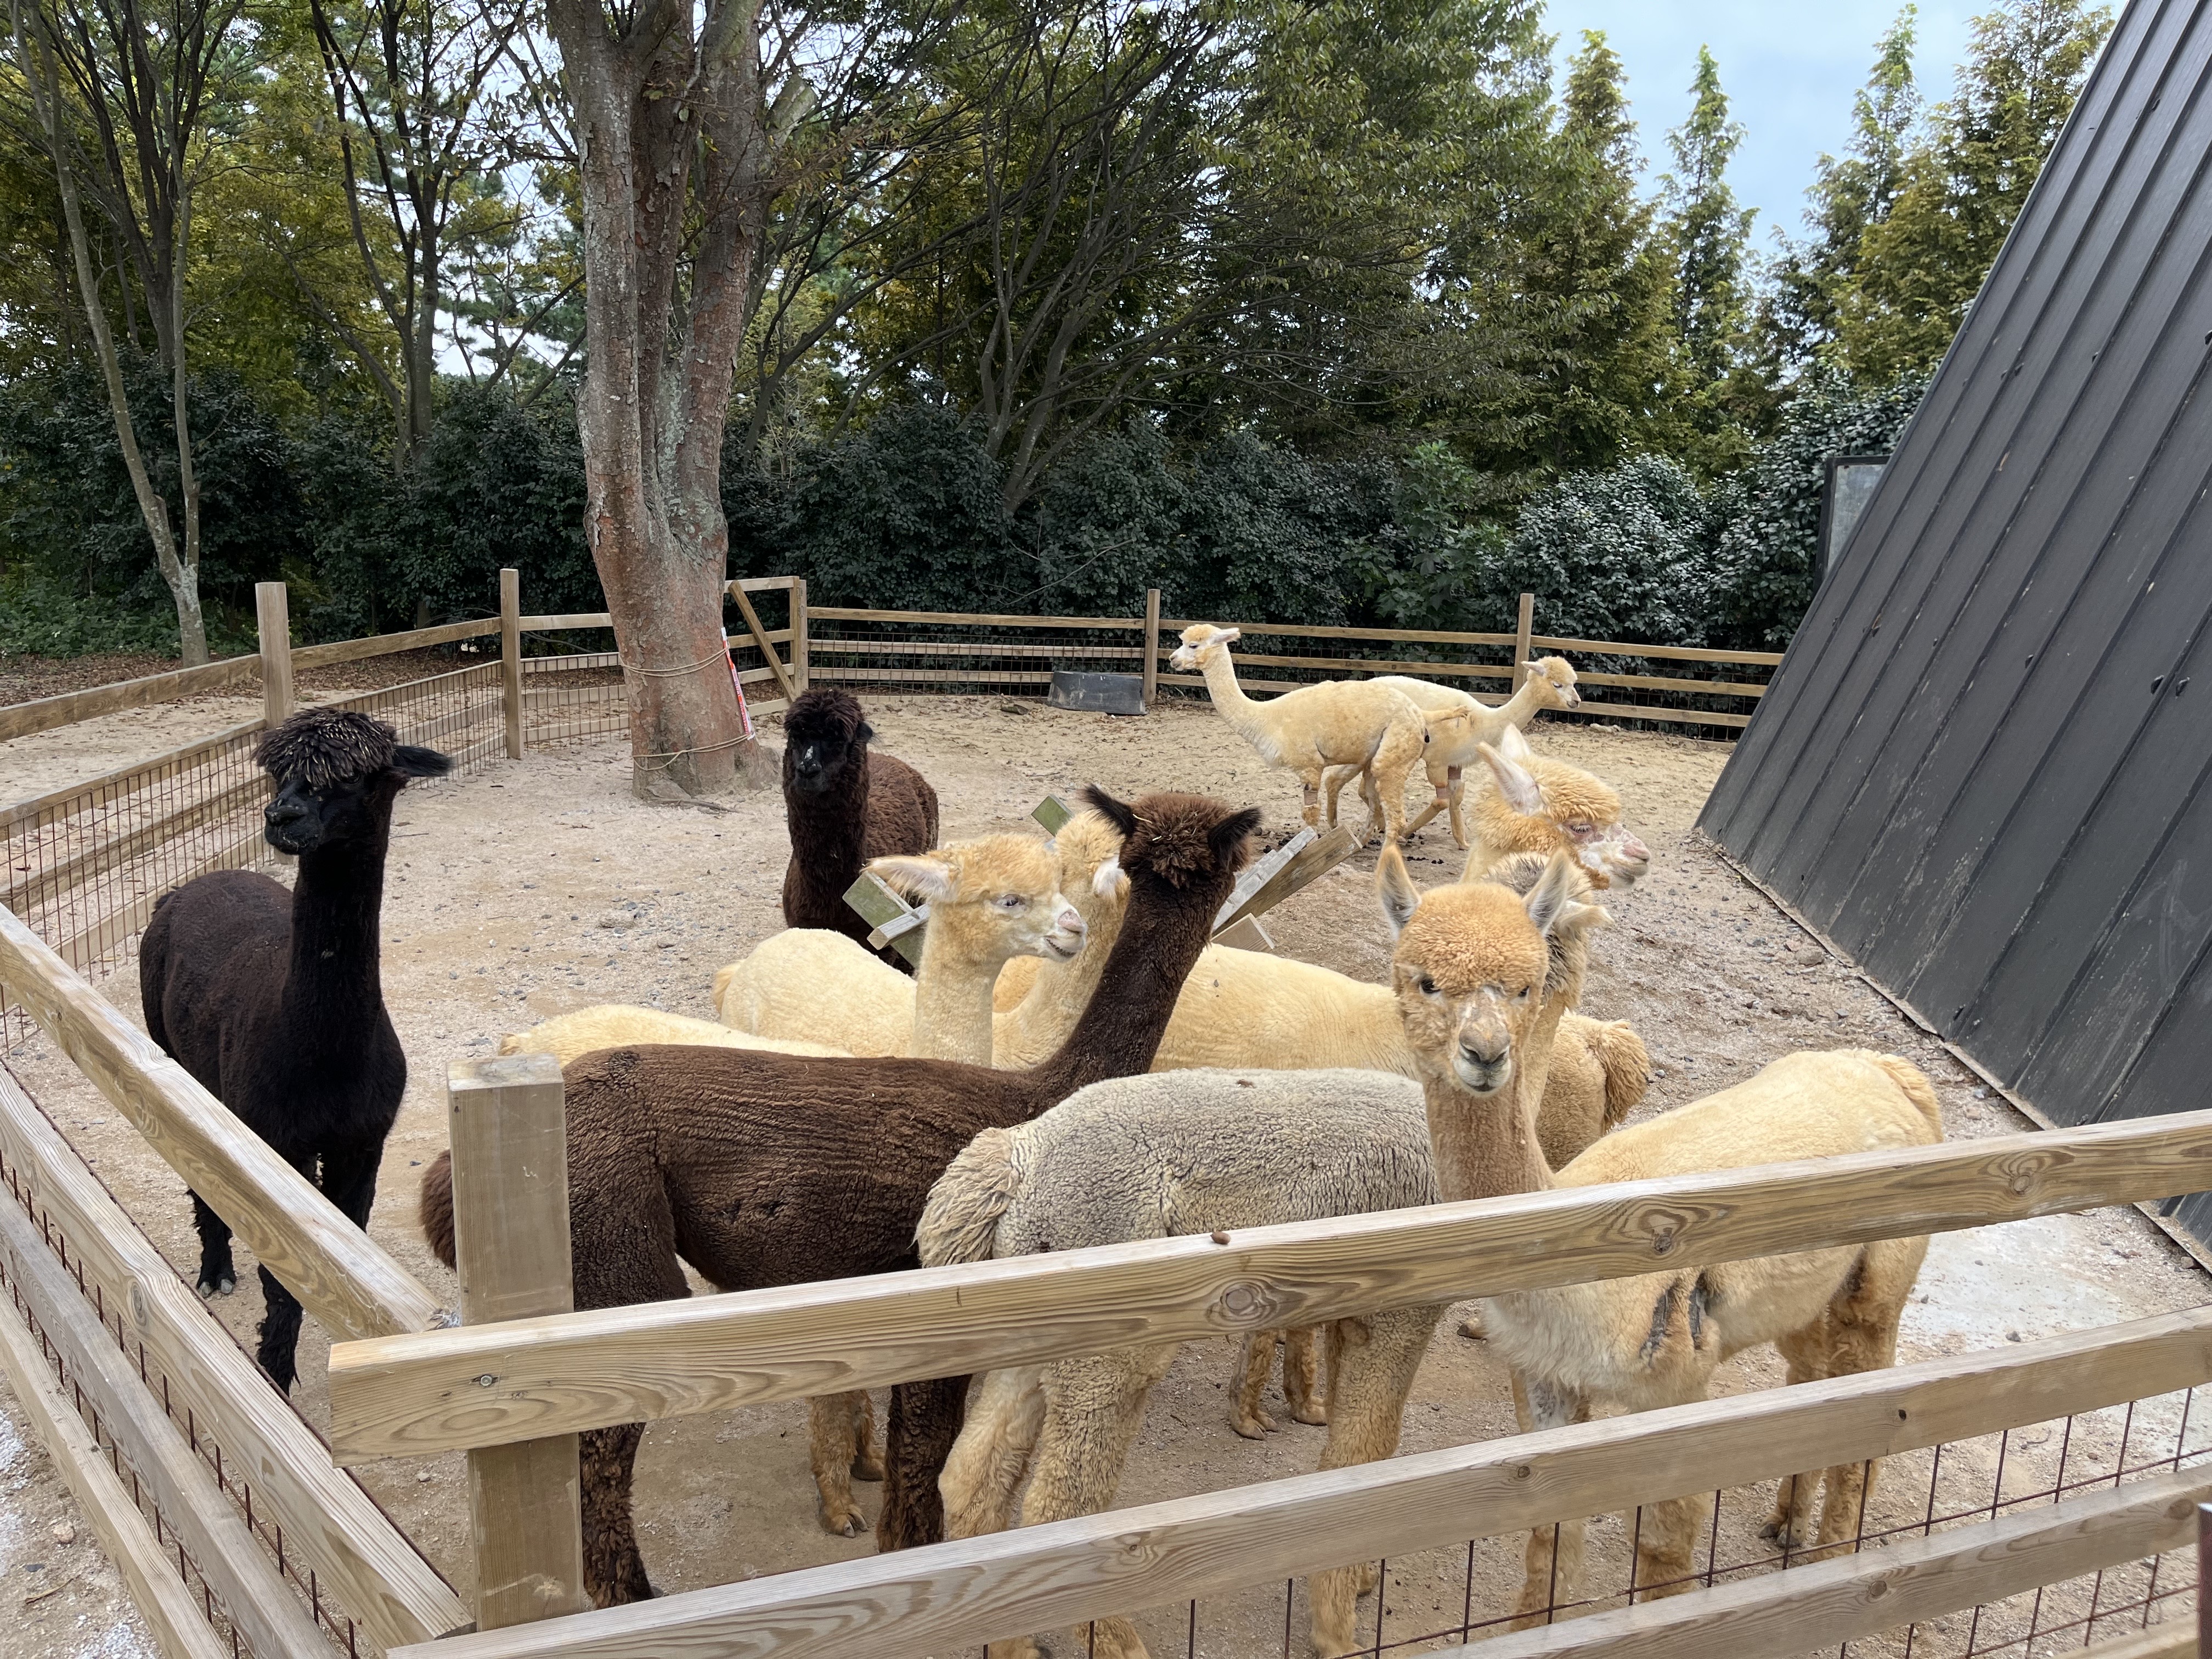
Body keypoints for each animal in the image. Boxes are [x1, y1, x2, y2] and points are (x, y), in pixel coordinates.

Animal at [139, 707, 451, 1392]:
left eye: (355, 776)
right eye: (277, 772)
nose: (281, 816)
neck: (325, 1061)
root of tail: (183, 888)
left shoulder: (362, 1139)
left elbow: (345, 1242)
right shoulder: (281, 1139)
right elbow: (284, 1277)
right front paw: (274, 1378)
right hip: (170, 1049)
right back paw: (215, 1269)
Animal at [416, 787, 1262, 1603]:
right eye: (1010, 897)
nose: (1072, 930)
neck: (1036, 1094)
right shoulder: (945, 1303)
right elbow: (922, 1475)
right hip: (616, 1255)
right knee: (601, 1444)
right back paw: (629, 1595)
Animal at [1169, 622, 1427, 845]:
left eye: (1194, 645)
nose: (1172, 659)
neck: (1267, 718)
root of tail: (1418, 716)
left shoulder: (1310, 765)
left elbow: (1310, 812)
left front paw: (1309, 847)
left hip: (1394, 752)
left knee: (1395, 816)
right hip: (1374, 758)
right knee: (1375, 804)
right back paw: (1358, 844)